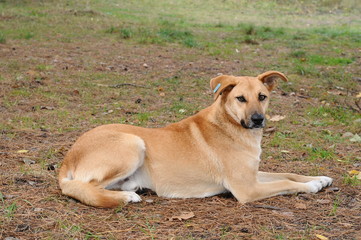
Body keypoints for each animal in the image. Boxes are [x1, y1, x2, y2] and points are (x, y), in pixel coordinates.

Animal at [59, 70, 332, 207]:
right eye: (240, 99)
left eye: (262, 97)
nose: (257, 120)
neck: (230, 125)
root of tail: (69, 156)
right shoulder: (247, 188)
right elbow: (285, 183)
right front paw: (311, 186)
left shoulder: (252, 175)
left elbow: (287, 174)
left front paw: (320, 178)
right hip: (133, 144)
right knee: (83, 188)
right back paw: (125, 198)